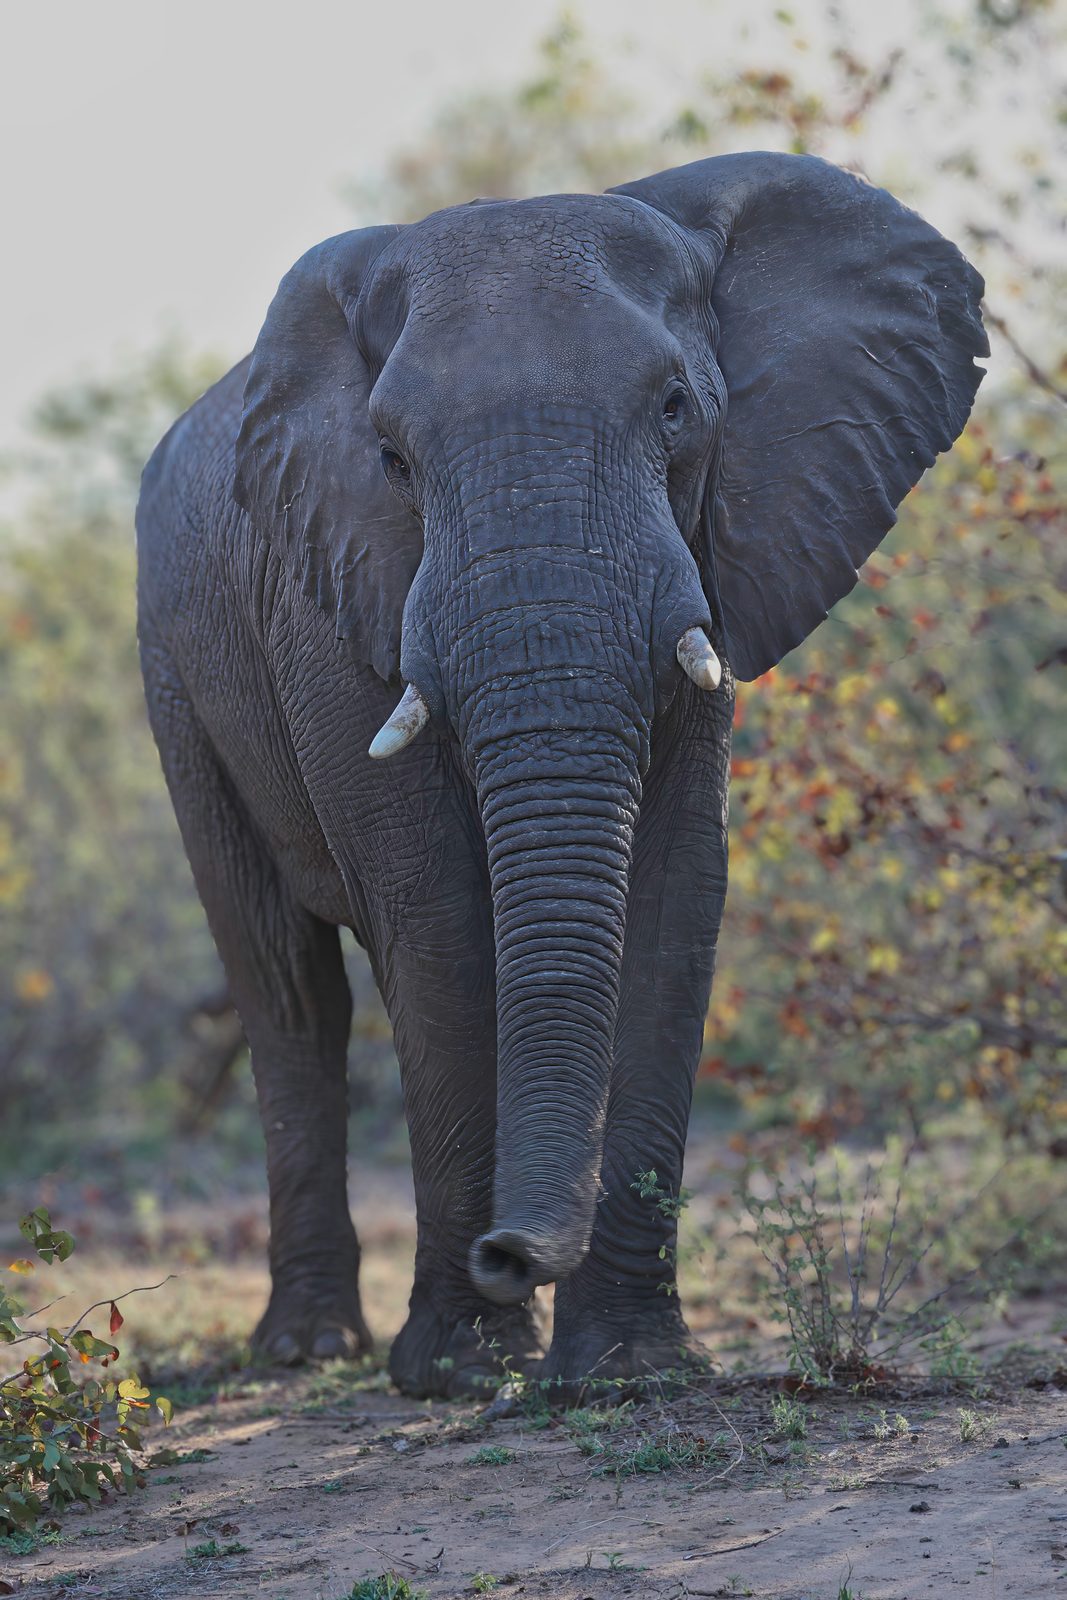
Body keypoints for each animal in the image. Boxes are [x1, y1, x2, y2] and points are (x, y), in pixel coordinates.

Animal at [136, 152, 986, 1398]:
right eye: (391, 460)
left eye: (675, 408)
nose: (508, 1251)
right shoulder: (331, 595)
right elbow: (434, 914)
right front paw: (458, 1368)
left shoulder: (714, 553)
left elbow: (672, 895)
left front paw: (626, 1368)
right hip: (175, 670)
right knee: (284, 983)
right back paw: (306, 1350)